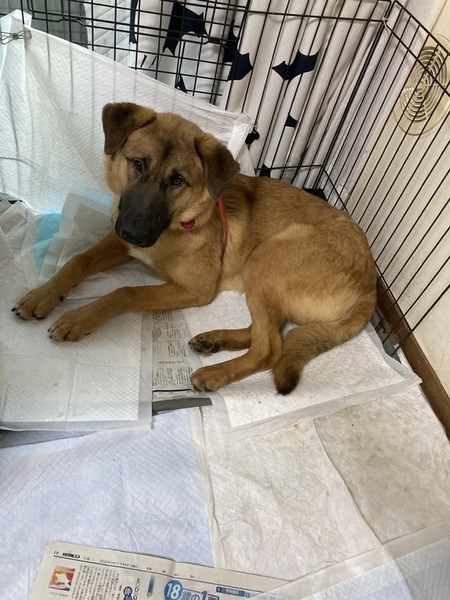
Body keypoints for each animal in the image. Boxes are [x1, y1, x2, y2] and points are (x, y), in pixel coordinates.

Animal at [12, 102, 377, 394]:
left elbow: (126, 292)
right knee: (270, 333)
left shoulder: (195, 288)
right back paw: (215, 340)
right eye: (137, 163)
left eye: (177, 181)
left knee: (270, 349)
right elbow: (78, 259)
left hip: (266, 257)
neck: (178, 225)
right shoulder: (120, 244)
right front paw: (42, 295)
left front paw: (80, 317)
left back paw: (215, 374)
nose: (133, 233)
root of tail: (371, 284)